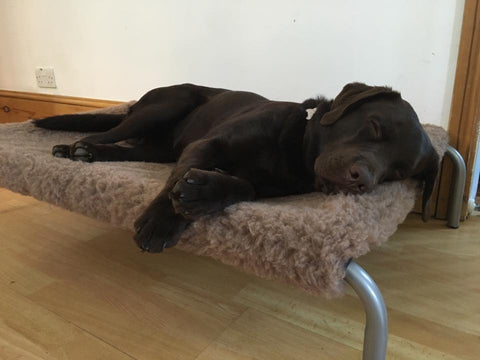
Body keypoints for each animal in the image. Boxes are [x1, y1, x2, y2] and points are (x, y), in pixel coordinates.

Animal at [33, 82, 438, 252]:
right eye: (374, 126)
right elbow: (176, 183)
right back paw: (77, 148)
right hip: (165, 105)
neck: (295, 148)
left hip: (159, 147)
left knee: (136, 152)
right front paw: (160, 221)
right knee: (110, 131)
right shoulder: (207, 144)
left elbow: (244, 185)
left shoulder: (271, 186)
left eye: (398, 171)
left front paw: (204, 191)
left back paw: (91, 153)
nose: (361, 180)